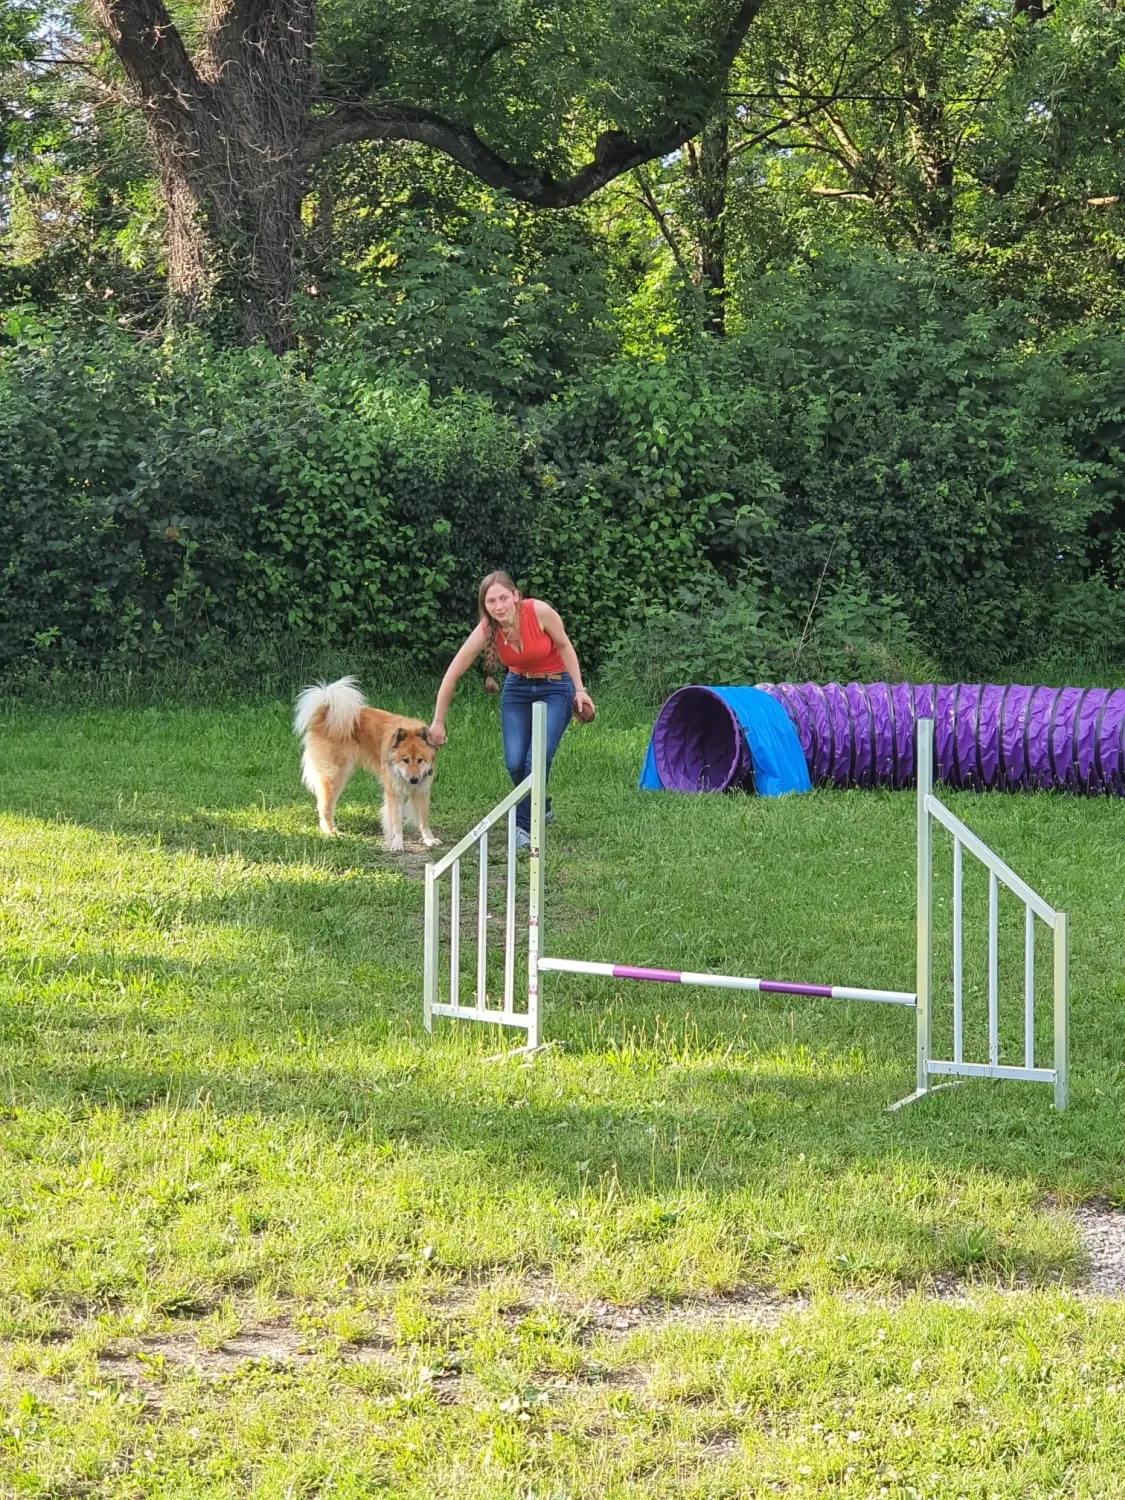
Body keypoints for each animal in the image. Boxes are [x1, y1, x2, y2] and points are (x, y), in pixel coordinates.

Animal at [292, 684, 444, 858]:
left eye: (420, 760)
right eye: (405, 760)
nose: (413, 779)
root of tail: (325, 714)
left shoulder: (422, 791)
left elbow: (423, 819)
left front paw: (429, 839)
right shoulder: (394, 793)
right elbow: (396, 822)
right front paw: (397, 843)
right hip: (335, 776)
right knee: (324, 807)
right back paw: (332, 832)